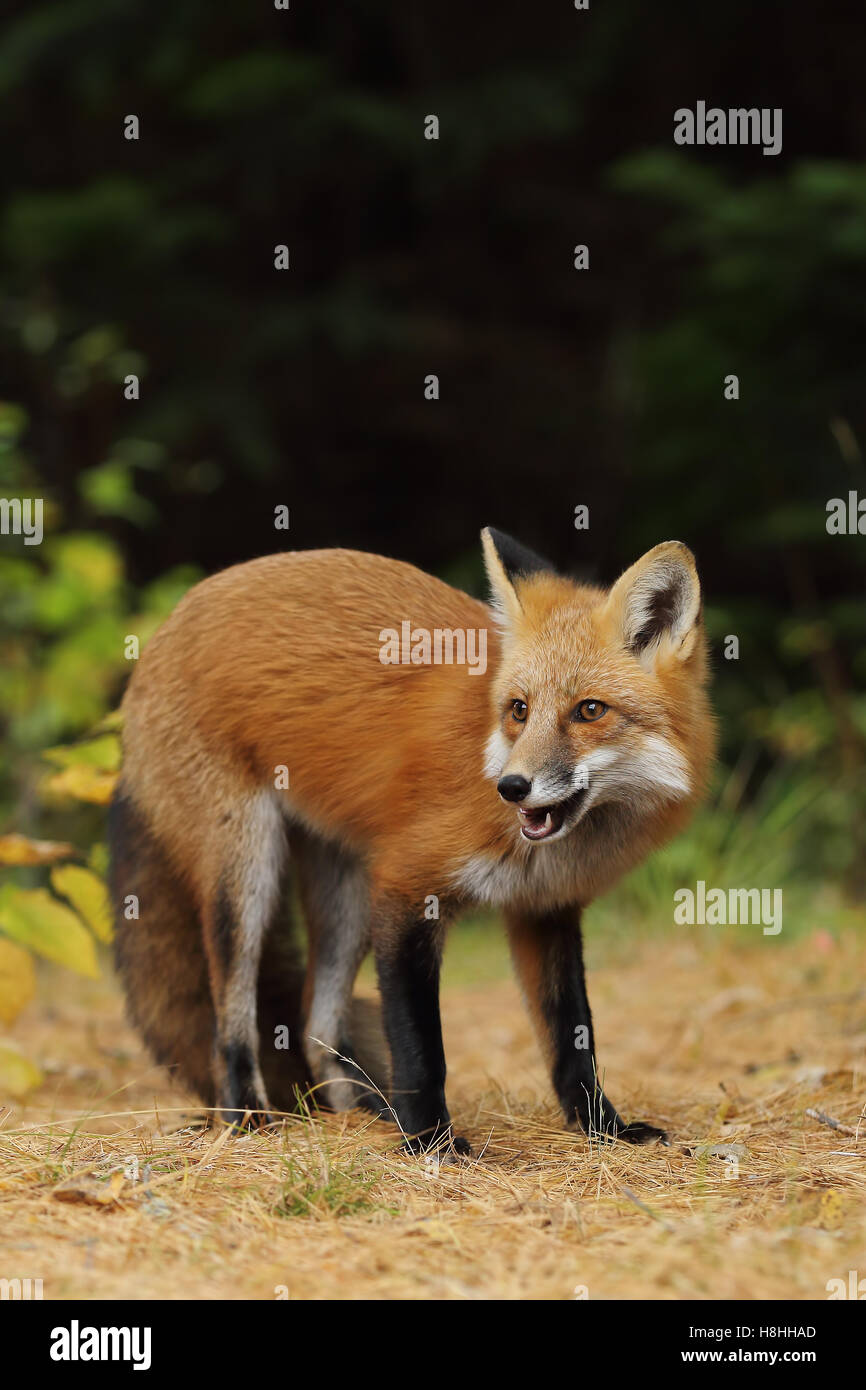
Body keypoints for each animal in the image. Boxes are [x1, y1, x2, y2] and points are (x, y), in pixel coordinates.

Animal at [109, 527, 714, 1155]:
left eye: (590, 710)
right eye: (519, 710)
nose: (511, 787)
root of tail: (173, 618)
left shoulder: (545, 909)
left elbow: (573, 1041)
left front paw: (605, 1130)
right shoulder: (405, 888)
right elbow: (421, 1046)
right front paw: (431, 1143)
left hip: (346, 893)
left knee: (315, 1025)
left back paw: (363, 1116)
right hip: (248, 875)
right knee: (231, 1020)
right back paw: (249, 1117)